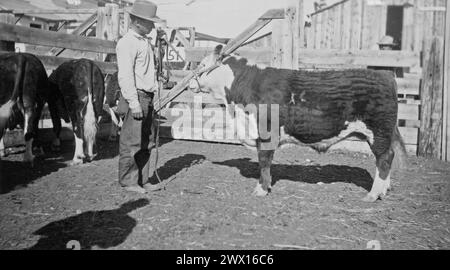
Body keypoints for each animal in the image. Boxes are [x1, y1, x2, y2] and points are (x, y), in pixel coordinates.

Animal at [190, 45, 408, 204]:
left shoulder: (266, 133)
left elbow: (264, 162)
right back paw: (383, 191)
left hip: (379, 132)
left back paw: (372, 195)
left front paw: (261, 190)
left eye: (203, 64)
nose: (190, 82)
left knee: (384, 159)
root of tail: (386, 75)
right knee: (386, 158)